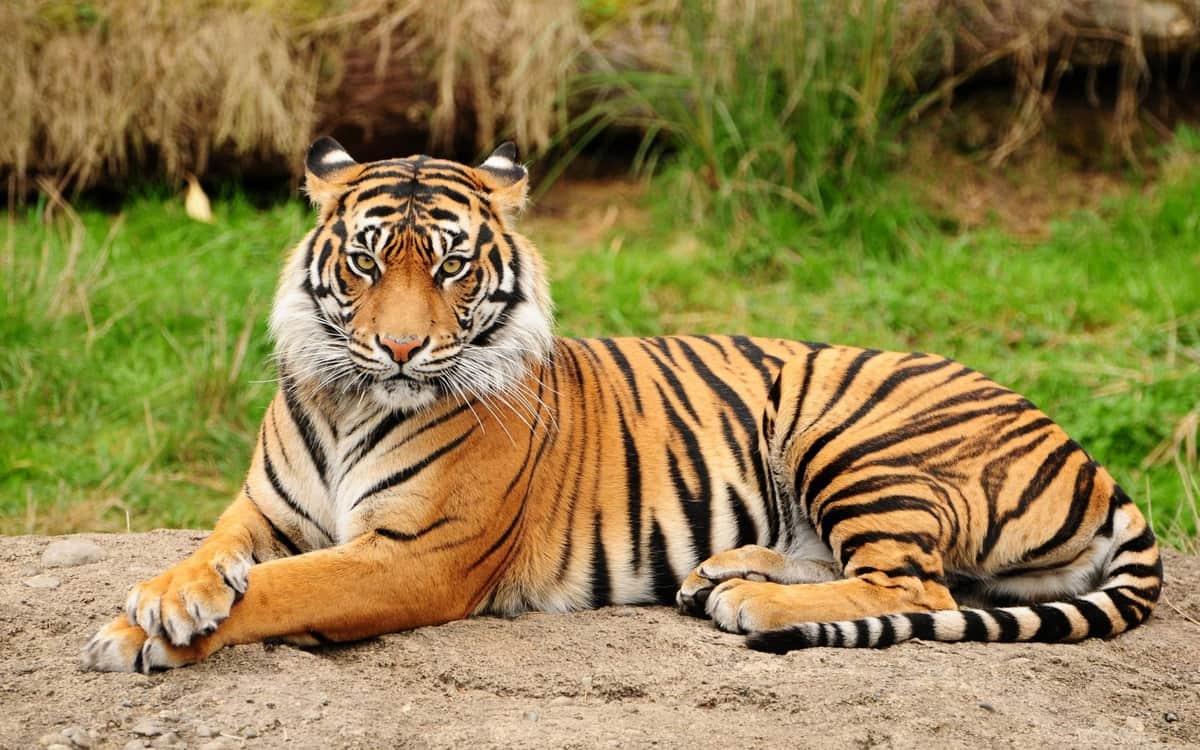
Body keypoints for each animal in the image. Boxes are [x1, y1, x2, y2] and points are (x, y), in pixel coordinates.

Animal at [82, 138, 1162, 672]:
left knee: (920, 588)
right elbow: (216, 555)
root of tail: (1087, 454)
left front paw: (142, 635)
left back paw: (751, 600)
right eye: (365, 261)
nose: (400, 347)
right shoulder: (262, 510)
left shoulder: (415, 555)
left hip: (854, 434)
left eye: (452, 267)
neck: (352, 400)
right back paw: (722, 572)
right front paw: (166, 598)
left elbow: (286, 589)